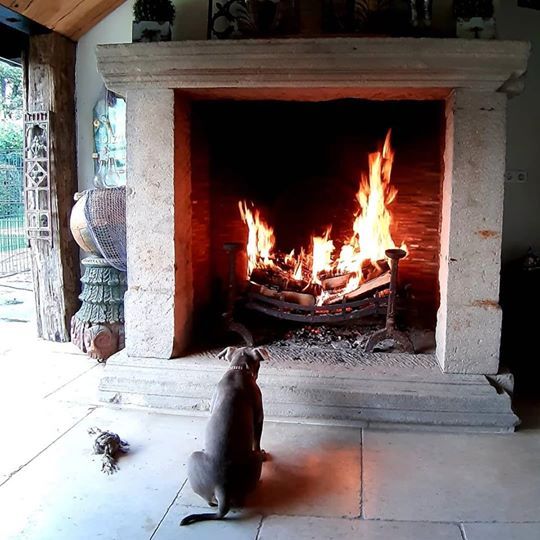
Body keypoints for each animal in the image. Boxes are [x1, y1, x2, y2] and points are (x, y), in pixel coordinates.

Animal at [180, 346, 266, 528]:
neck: (238, 370)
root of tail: (222, 488)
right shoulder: (259, 416)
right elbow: (257, 439)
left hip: (194, 460)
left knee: (210, 501)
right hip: (254, 459)